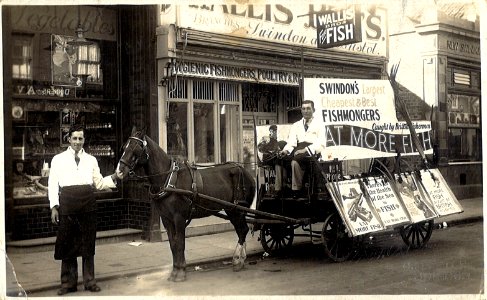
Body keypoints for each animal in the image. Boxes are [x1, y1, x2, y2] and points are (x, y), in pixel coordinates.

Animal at [117, 127, 255, 282]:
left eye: (136, 148)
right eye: (124, 147)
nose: (119, 171)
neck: (169, 179)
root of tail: (244, 171)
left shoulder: (179, 217)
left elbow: (180, 243)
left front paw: (181, 271)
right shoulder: (166, 219)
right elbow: (173, 244)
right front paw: (175, 270)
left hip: (237, 210)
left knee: (243, 230)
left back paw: (238, 260)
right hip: (232, 210)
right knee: (241, 230)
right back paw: (240, 260)